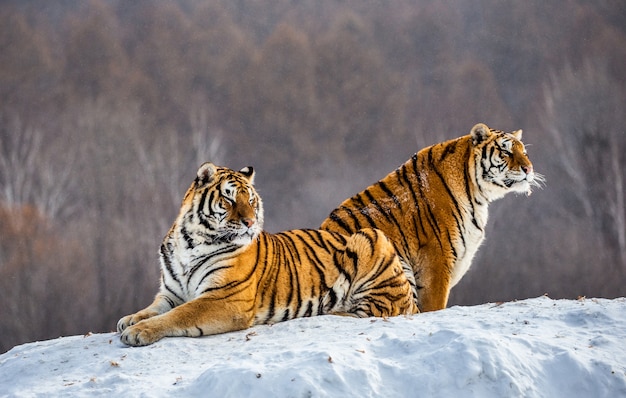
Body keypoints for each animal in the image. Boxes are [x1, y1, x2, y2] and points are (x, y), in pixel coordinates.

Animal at [119, 162, 416, 346]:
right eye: (229, 199)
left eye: (250, 200)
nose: (250, 222)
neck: (191, 241)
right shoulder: (172, 293)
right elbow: (154, 308)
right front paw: (130, 319)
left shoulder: (224, 298)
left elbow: (178, 315)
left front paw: (138, 332)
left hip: (371, 238)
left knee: (375, 311)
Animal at [320, 123, 544, 312]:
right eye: (506, 151)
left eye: (524, 152)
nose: (529, 169)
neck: (477, 194)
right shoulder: (437, 258)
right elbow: (434, 305)